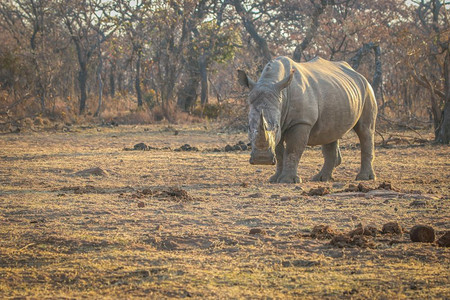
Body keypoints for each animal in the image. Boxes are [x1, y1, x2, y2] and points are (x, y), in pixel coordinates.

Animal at [237, 56, 378, 183]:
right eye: (248, 128)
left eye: (276, 127)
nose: (262, 159)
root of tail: (358, 73)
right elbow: (279, 151)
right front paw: (274, 179)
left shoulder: (301, 121)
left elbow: (293, 149)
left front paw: (288, 180)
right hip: (339, 94)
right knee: (330, 133)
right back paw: (321, 179)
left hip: (367, 90)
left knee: (365, 130)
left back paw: (364, 178)